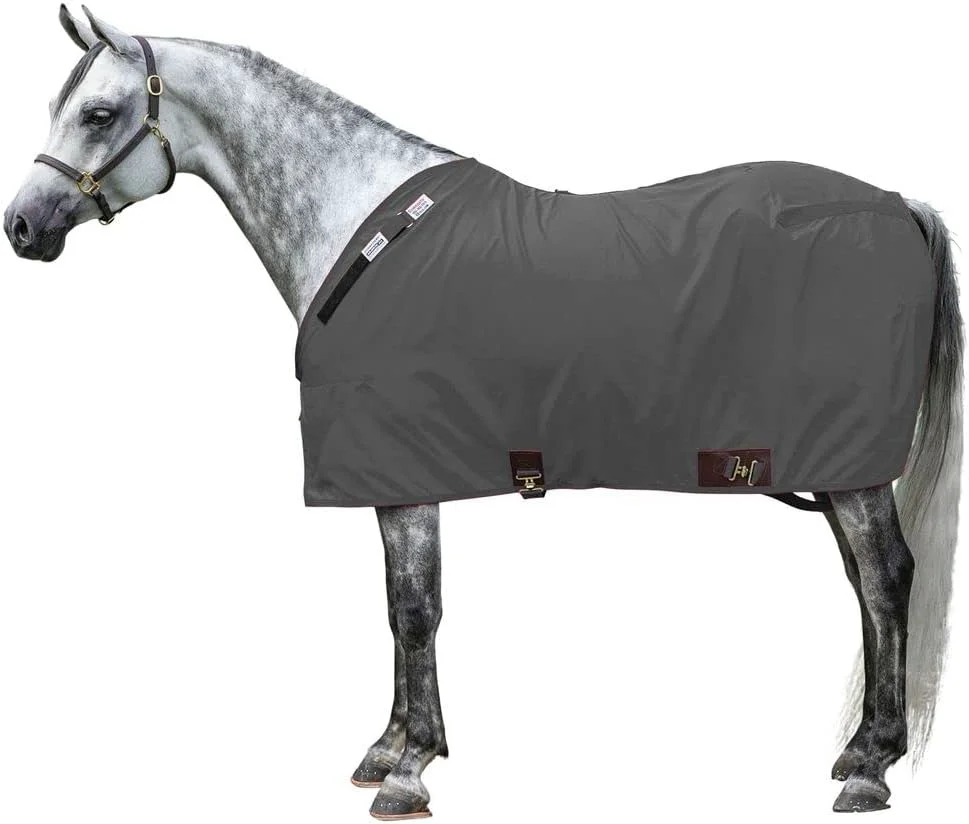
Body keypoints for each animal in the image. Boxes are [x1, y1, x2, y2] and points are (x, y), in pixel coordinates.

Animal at [3, 6, 962, 819]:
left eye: (96, 114)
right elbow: (396, 608)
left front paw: (409, 768)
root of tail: (896, 204)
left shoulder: (404, 471)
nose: (21, 226)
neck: (361, 236)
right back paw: (857, 751)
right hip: (831, 468)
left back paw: (871, 767)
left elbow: (414, 609)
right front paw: (389, 747)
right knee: (864, 585)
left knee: (886, 579)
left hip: (847, 468)